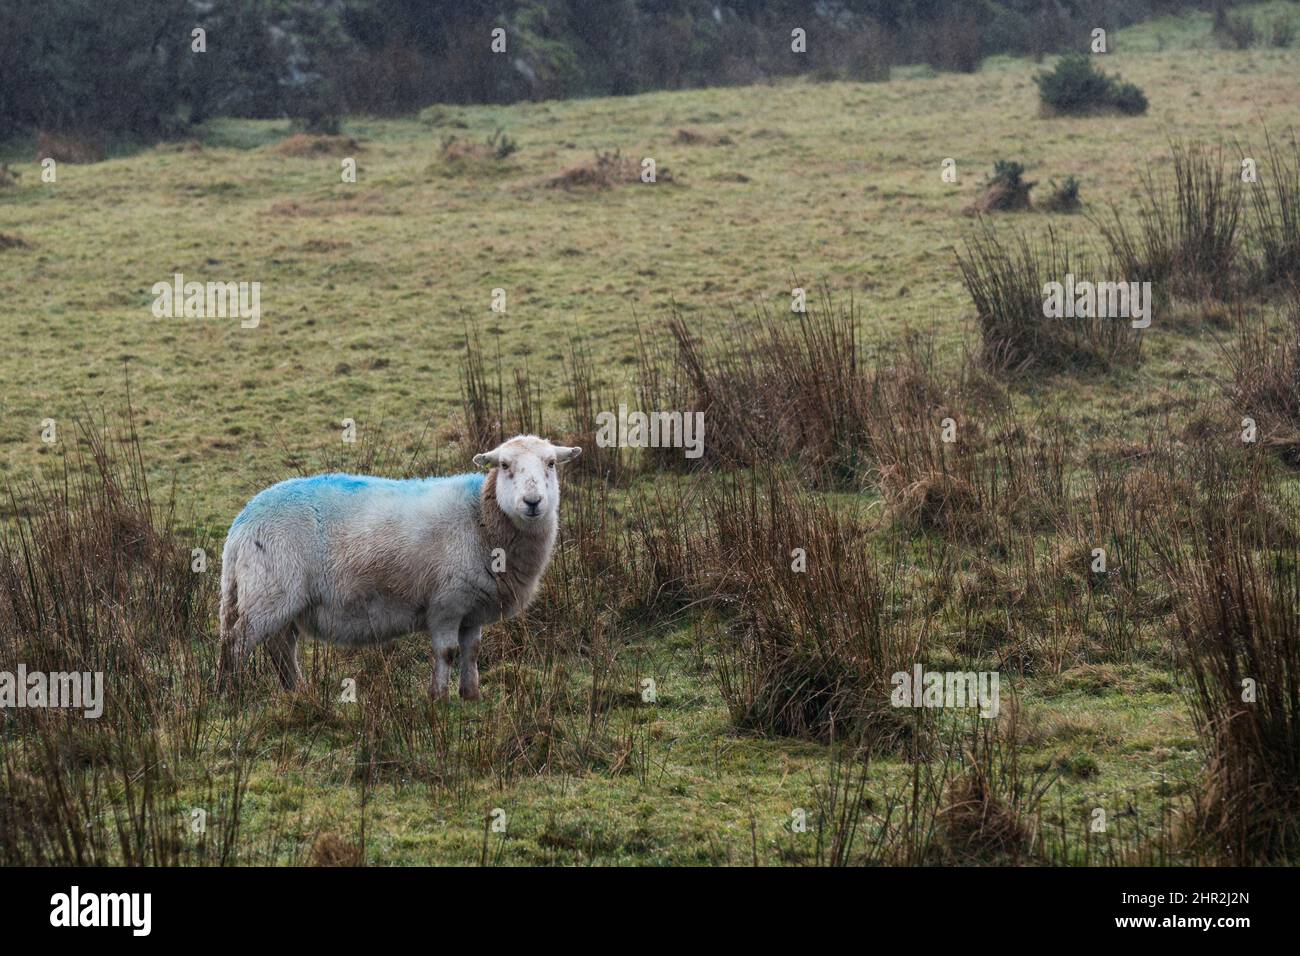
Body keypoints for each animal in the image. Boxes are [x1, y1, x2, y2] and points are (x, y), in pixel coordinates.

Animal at [215, 437, 582, 697]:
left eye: (551, 463)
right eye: (505, 465)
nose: (532, 502)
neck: (480, 519)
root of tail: (242, 523)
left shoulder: (471, 607)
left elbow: (472, 652)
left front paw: (471, 695)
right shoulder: (446, 603)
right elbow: (447, 652)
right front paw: (439, 697)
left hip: (281, 601)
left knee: (280, 648)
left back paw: (297, 691)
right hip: (270, 592)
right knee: (235, 643)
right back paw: (229, 694)